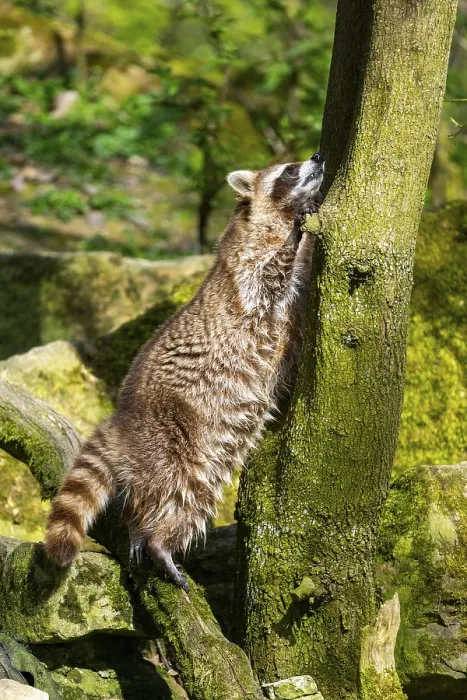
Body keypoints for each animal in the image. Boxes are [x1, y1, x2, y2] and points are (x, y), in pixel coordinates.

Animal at [45, 152, 325, 591]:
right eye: (289, 170)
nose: (318, 156)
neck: (272, 216)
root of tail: (122, 422)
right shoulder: (245, 267)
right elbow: (269, 277)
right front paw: (295, 239)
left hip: (206, 454)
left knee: (194, 499)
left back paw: (153, 535)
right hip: (172, 435)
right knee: (173, 490)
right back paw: (155, 539)